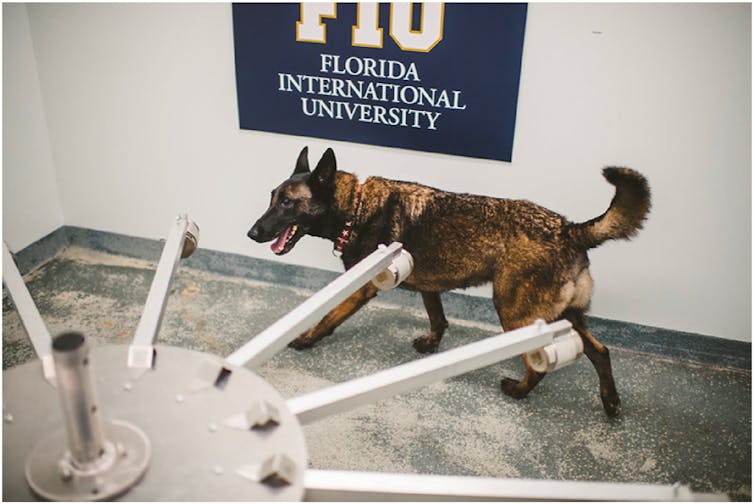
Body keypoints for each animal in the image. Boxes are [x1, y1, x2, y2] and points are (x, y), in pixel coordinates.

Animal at [250, 147, 648, 418]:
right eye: (271, 198)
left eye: (287, 203)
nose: (251, 233)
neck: (357, 207)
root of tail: (569, 229)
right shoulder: (429, 287)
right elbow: (438, 318)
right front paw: (431, 343)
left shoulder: (362, 286)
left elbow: (327, 318)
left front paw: (304, 338)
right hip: (564, 316)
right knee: (600, 351)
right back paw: (610, 402)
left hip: (517, 316)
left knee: (540, 363)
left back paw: (519, 391)